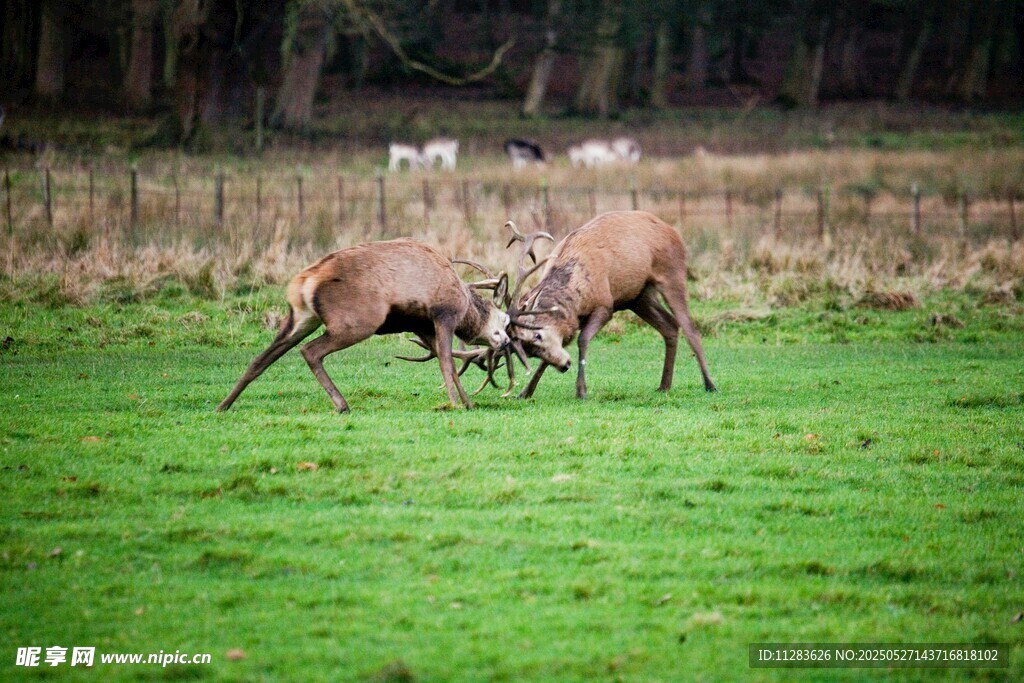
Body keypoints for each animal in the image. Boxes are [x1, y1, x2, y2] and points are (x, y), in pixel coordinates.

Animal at [216, 239, 511, 413]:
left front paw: (468, 402)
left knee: (262, 358)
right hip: (355, 322)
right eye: (505, 320)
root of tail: (304, 282)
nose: (506, 342)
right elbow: (447, 363)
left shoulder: (421, 325)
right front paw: (455, 403)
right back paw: (341, 404)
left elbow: (442, 358)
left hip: (300, 318)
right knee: (310, 351)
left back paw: (223, 404)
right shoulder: (443, 314)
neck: (466, 306)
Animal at [504, 211, 716, 400]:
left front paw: (581, 391)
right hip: (638, 296)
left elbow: (583, 339)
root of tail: (674, 231)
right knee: (670, 325)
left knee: (690, 329)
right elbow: (559, 348)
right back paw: (664, 385)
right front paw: (525, 392)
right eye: (529, 351)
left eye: (537, 335)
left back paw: (710, 384)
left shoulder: (605, 304)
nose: (564, 366)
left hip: (672, 273)